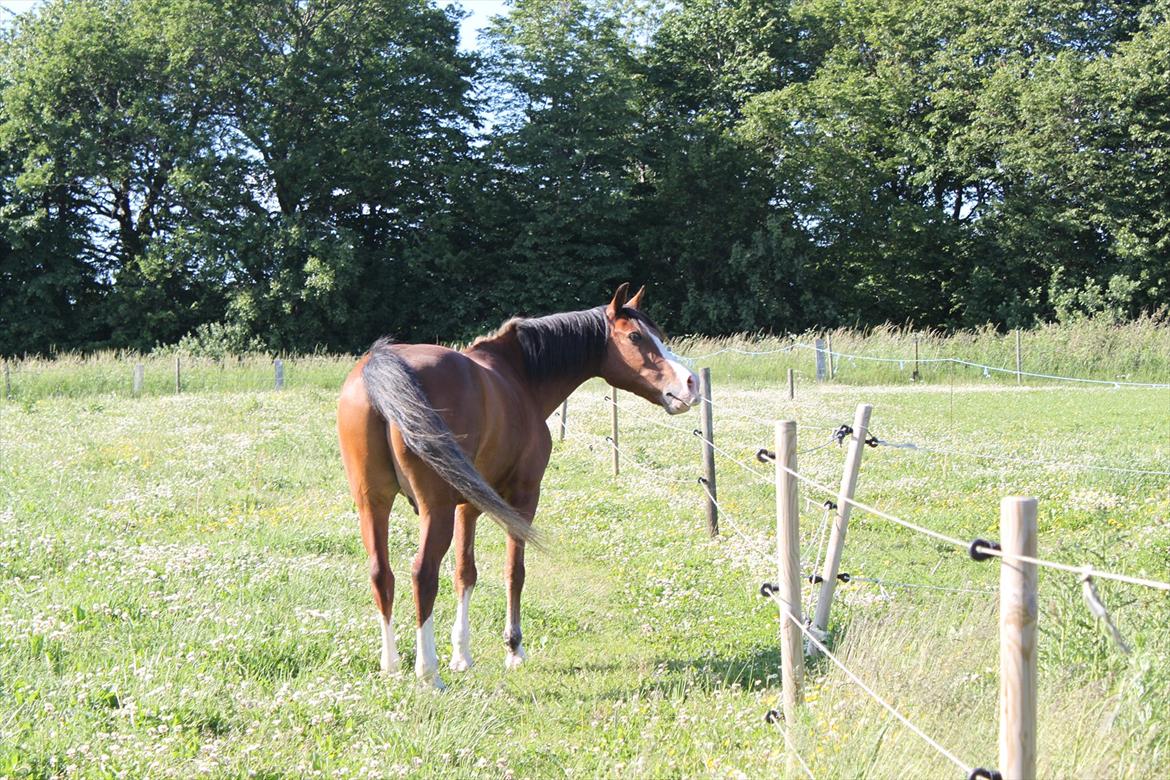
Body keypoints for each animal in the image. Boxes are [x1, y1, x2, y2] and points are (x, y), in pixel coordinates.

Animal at [336, 284, 692, 687]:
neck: (518, 376)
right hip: (434, 510)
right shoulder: (523, 498)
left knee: (381, 573)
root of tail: (380, 365)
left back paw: (392, 664)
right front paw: (514, 648)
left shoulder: (468, 505)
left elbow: (465, 573)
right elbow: (514, 571)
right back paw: (428, 673)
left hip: (373, 504)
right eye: (635, 337)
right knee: (422, 574)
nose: (690, 383)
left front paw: (462, 655)